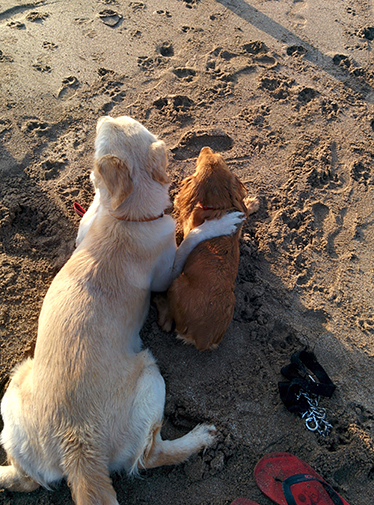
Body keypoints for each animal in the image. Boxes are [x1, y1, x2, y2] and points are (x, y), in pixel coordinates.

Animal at [0, 116, 245, 502]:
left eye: (127, 122)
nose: (103, 116)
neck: (125, 217)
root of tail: (79, 451)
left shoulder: (86, 229)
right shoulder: (167, 273)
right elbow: (191, 239)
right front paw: (217, 225)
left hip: (14, 392)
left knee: (23, 479)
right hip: (150, 373)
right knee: (149, 456)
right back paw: (201, 437)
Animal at [156, 146, 258, 350]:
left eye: (200, 162)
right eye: (219, 157)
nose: (205, 147)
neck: (218, 207)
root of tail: (202, 340)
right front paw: (252, 203)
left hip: (177, 282)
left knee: (167, 323)